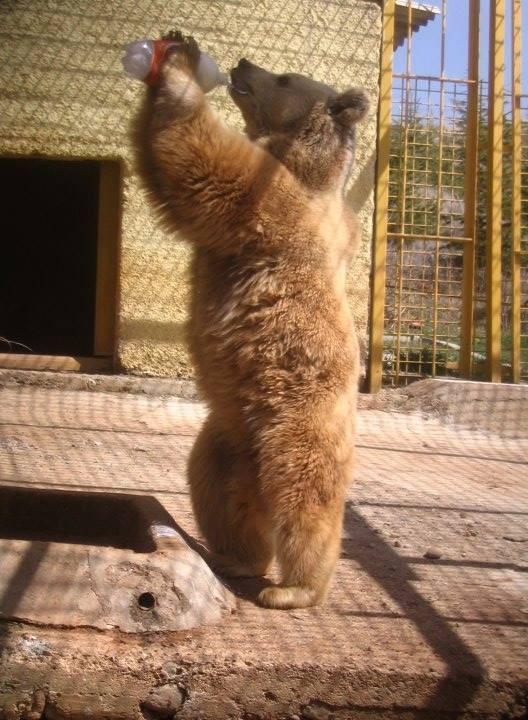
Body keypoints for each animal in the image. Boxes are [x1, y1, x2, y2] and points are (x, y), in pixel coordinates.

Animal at [133, 32, 369, 609]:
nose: (242, 63)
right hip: (224, 438)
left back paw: (294, 588)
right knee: (217, 492)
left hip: (298, 421)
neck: (302, 157)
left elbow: (203, 164)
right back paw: (235, 557)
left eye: (283, 77)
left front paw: (178, 62)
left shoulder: (276, 201)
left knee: (305, 499)